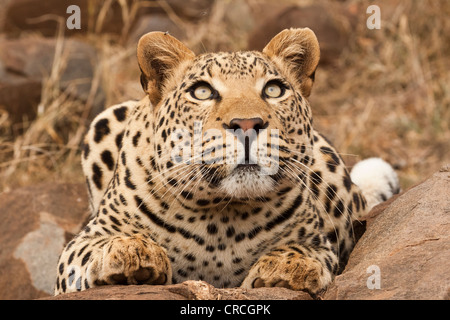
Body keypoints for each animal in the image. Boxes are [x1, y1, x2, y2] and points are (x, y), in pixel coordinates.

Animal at [54, 28, 400, 298]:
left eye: (273, 89)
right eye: (202, 92)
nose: (247, 124)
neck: (220, 217)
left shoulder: (320, 243)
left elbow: (304, 250)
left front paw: (289, 265)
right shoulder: (77, 248)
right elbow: (97, 246)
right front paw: (131, 251)